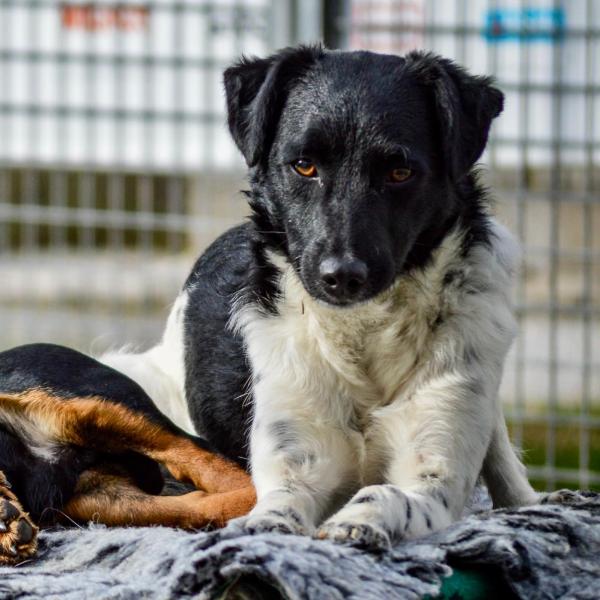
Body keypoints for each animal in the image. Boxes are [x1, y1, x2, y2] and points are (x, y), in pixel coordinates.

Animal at [0, 45, 541, 565]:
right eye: (304, 165)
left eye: (400, 172)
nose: (341, 275)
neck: (360, 335)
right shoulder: (297, 457)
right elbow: (277, 500)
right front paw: (265, 530)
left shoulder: (433, 475)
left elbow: (387, 493)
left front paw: (359, 521)